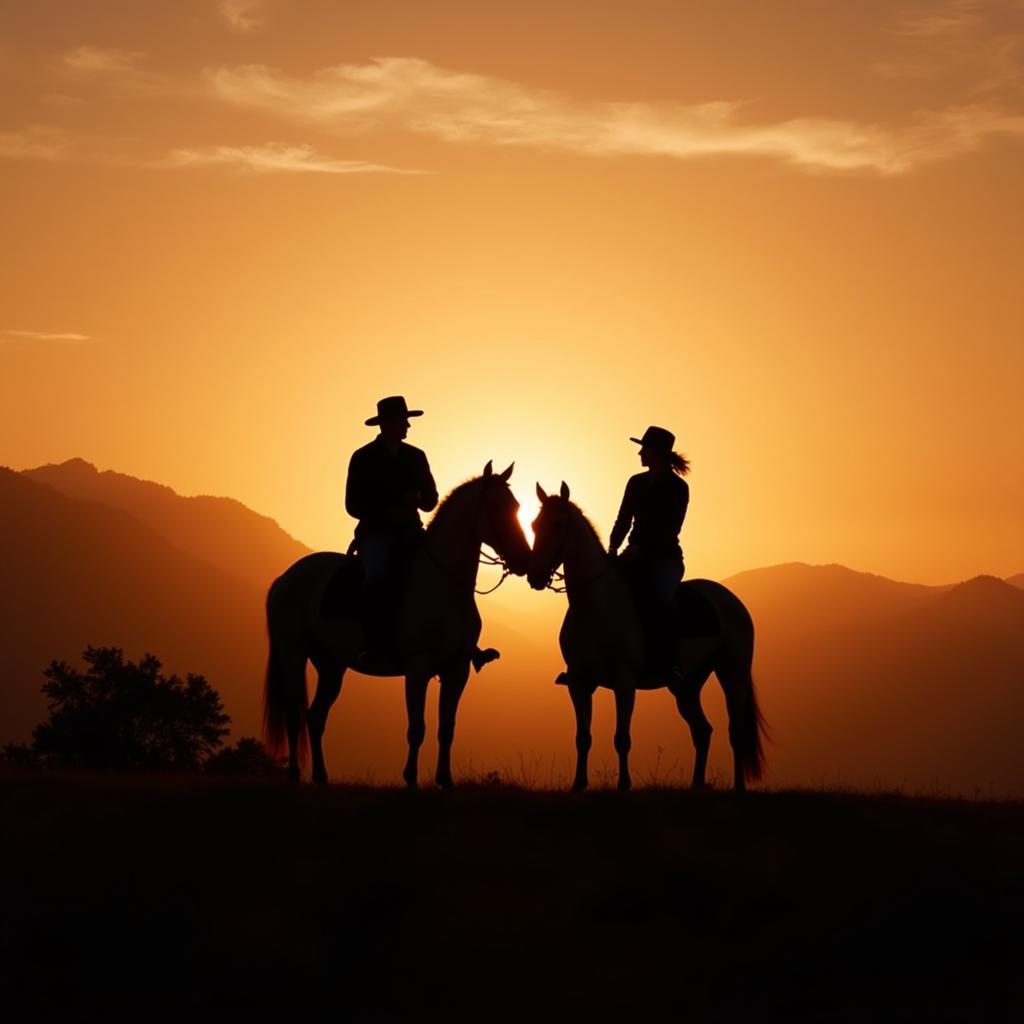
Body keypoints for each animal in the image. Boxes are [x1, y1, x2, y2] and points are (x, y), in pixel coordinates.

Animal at [264, 460, 532, 786]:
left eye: (517, 506)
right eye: (496, 507)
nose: (524, 561)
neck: (442, 584)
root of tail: (285, 577)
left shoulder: (457, 670)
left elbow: (447, 729)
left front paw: (445, 779)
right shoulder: (418, 669)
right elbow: (417, 729)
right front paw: (411, 778)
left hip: (331, 665)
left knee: (315, 717)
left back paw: (320, 775)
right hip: (293, 654)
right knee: (294, 715)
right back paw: (293, 775)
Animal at [532, 483, 765, 794]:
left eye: (558, 525)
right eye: (534, 525)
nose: (534, 575)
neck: (597, 604)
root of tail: (733, 601)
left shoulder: (624, 681)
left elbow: (622, 738)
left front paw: (624, 785)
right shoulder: (579, 681)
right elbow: (583, 737)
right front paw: (579, 785)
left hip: (733, 673)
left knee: (735, 731)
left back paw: (738, 787)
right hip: (687, 685)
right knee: (702, 731)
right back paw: (696, 786)